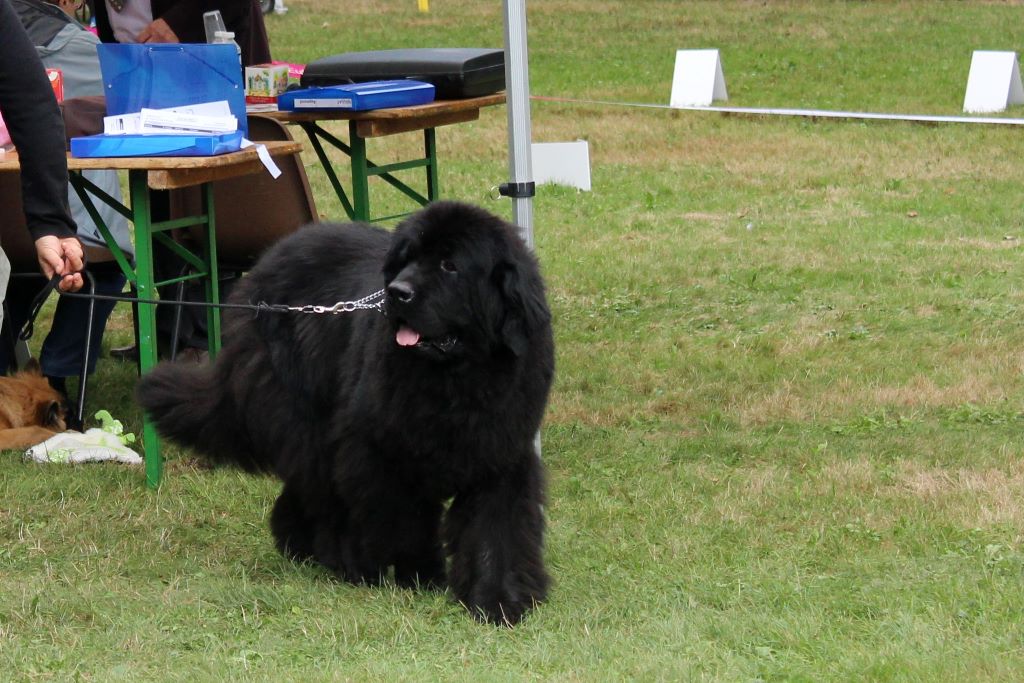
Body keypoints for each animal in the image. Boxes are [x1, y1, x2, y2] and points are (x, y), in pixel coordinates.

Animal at [138, 200, 552, 626]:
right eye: (406, 260)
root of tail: (263, 268)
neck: (455, 381)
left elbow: (496, 529)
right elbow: (407, 520)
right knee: (322, 489)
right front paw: (419, 576)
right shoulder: (379, 449)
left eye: (449, 265)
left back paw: (302, 546)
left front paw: (499, 600)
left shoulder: (501, 452)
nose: (397, 292)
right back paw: (340, 560)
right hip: (307, 415)